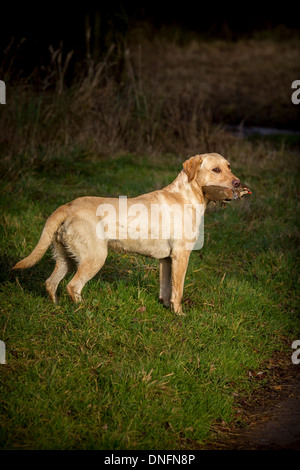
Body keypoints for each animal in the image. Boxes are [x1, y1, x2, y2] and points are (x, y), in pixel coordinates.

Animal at [13, 154, 241, 316]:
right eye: (216, 169)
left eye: (229, 166)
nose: (238, 183)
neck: (186, 195)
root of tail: (68, 206)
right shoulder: (181, 256)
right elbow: (178, 291)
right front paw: (179, 315)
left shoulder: (166, 260)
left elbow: (166, 289)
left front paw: (166, 309)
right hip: (95, 258)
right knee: (73, 286)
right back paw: (85, 310)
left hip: (65, 258)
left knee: (51, 283)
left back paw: (57, 307)